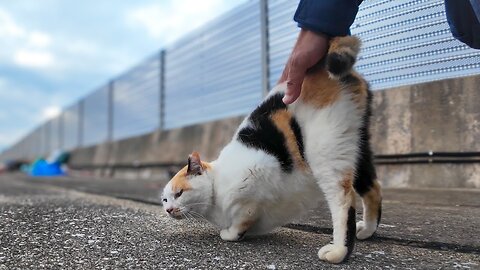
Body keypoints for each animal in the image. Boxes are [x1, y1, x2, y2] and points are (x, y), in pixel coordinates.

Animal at [161, 36, 382, 264]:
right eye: (164, 199)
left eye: (179, 193)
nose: (168, 210)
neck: (215, 187)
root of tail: (322, 66)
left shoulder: (256, 177)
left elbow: (243, 218)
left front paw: (232, 234)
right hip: (355, 143)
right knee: (373, 188)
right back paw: (367, 229)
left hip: (326, 150)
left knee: (343, 200)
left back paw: (338, 250)